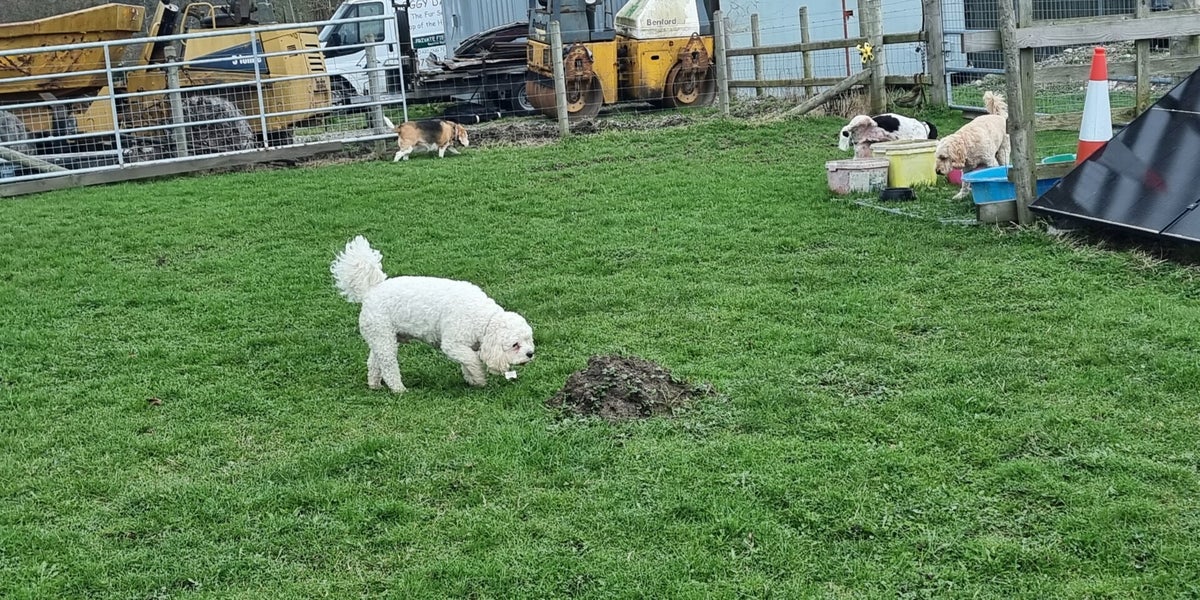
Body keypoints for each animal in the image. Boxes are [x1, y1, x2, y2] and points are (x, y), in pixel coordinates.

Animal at [330, 236, 535, 393]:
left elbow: (467, 362)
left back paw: (375, 385)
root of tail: (371, 290)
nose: (531, 354)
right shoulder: (453, 343)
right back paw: (399, 389)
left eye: (529, 340)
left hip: (380, 337)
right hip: (383, 336)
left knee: (374, 362)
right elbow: (472, 360)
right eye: (515, 345)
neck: (483, 319)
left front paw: (472, 379)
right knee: (388, 365)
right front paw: (479, 379)